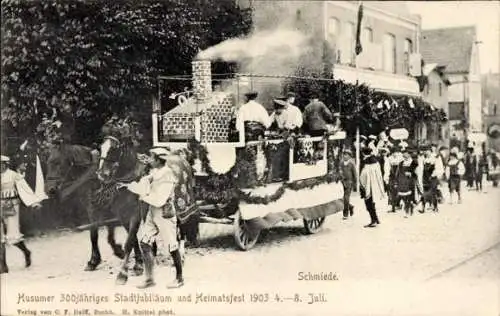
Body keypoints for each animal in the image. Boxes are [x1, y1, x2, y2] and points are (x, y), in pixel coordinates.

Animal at [45, 141, 144, 274]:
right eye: (48, 162)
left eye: (57, 162)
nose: (49, 190)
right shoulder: (104, 208)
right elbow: (108, 230)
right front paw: (118, 251)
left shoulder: (94, 209)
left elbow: (94, 234)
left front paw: (93, 261)